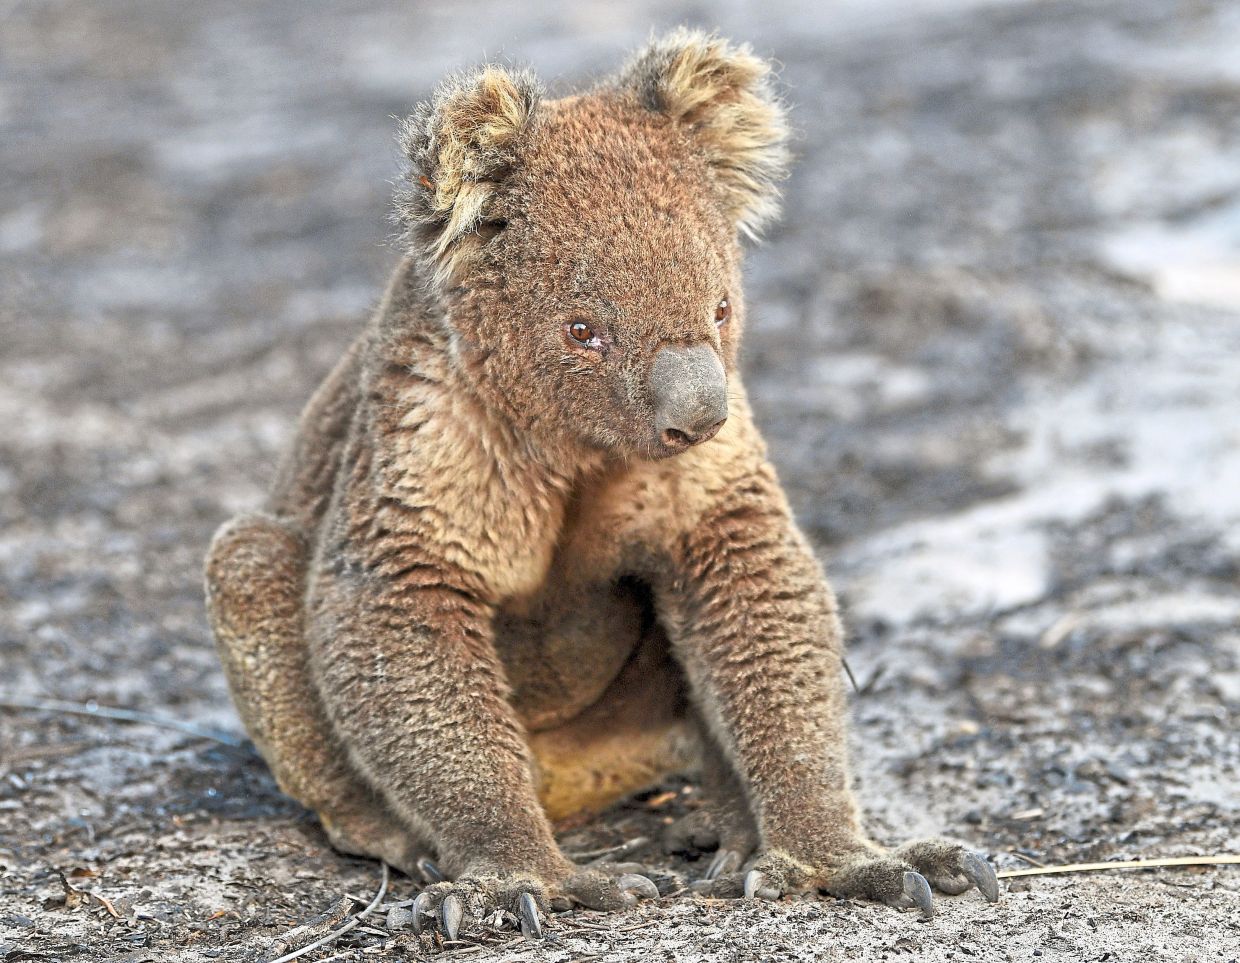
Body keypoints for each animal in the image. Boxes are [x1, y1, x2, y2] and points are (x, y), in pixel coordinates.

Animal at [204, 28, 999, 940]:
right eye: (584, 331)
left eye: (721, 307)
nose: (698, 418)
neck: (576, 448)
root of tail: (568, 779)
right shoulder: (425, 437)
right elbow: (396, 608)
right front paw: (523, 878)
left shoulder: (710, 487)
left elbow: (755, 589)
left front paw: (845, 857)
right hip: (265, 587)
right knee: (254, 572)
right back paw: (402, 837)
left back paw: (728, 831)